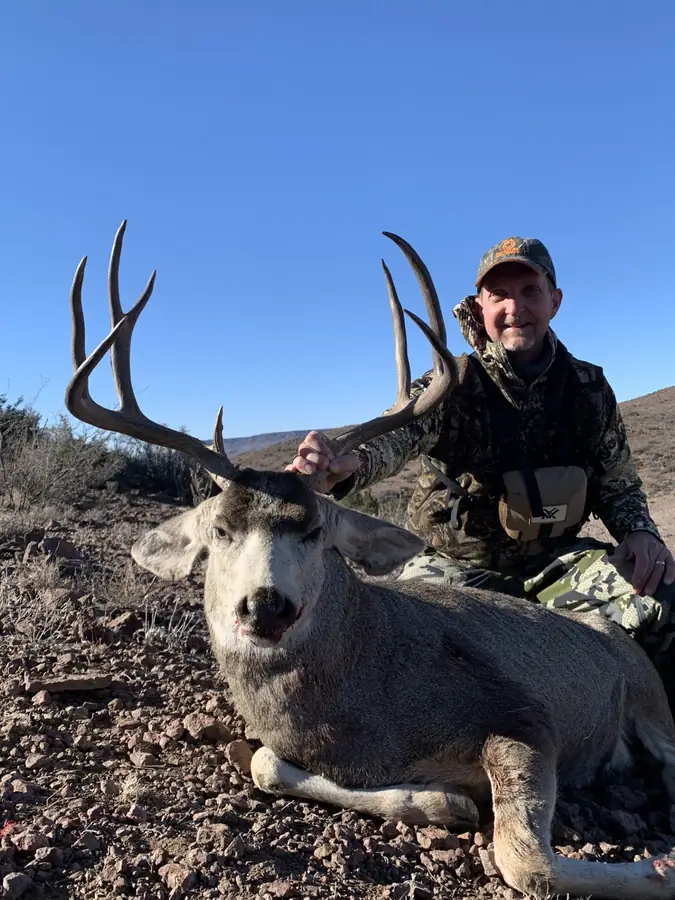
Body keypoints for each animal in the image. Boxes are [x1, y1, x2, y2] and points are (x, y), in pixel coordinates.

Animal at [65, 221, 675, 900]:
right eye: (220, 530)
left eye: (316, 531)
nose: (266, 606)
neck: (361, 707)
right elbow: (264, 762)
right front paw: (444, 801)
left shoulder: (524, 716)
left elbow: (524, 859)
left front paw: (659, 868)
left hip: (650, 698)